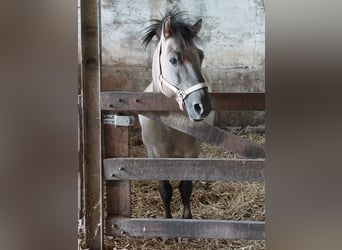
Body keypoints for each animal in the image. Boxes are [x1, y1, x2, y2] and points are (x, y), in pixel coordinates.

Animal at [138, 10, 212, 220]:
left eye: (201, 56)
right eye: (173, 59)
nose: (202, 106)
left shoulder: (191, 154)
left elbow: (185, 187)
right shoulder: (155, 156)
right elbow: (165, 189)